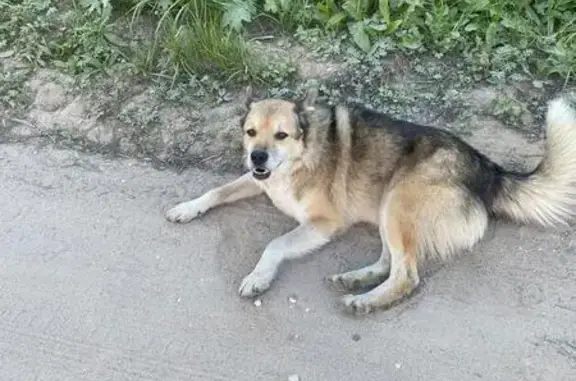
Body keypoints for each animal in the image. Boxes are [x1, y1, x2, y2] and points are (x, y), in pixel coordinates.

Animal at [164, 87, 576, 314]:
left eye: (281, 135)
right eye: (251, 132)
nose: (257, 157)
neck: (302, 155)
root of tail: (487, 168)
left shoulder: (324, 223)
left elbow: (275, 244)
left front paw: (258, 277)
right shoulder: (260, 181)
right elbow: (217, 191)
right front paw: (187, 208)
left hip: (396, 200)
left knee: (406, 274)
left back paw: (365, 302)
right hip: (387, 206)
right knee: (390, 262)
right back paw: (356, 279)